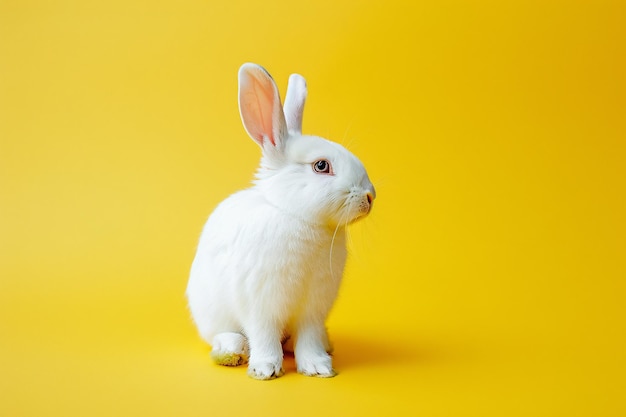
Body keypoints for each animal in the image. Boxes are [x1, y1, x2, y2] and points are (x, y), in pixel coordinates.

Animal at [183, 63, 372, 378]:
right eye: (321, 166)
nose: (370, 196)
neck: (298, 217)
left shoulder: (313, 308)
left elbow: (308, 338)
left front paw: (318, 367)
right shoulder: (260, 304)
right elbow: (264, 336)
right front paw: (265, 369)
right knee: (226, 335)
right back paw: (230, 352)